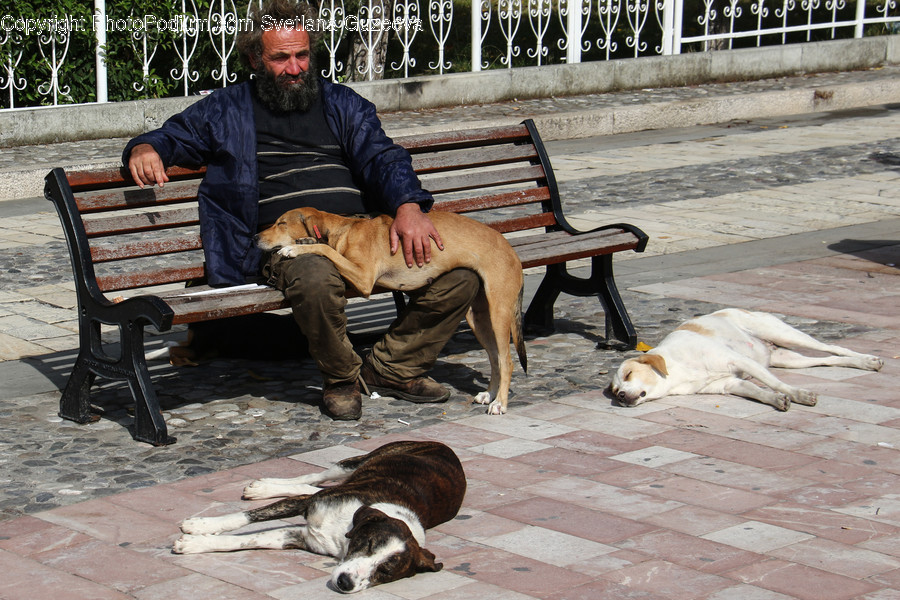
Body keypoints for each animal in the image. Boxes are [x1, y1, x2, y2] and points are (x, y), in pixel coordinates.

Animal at [171, 442, 464, 592]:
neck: (344, 535)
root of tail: (450, 450)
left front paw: (197, 542)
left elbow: (246, 541)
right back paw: (263, 487)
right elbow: (245, 518)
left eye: (385, 571)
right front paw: (200, 527)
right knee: (315, 478)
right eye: (369, 544)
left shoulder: (296, 537)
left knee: (313, 485)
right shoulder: (307, 505)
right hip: (355, 462)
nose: (345, 583)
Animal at [255, 205, 528, 412]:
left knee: (507, 361)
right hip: (479, 319)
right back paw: (489, 394)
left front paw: (294, 248)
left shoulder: (364, 278)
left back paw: (500, 403)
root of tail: (512, 251)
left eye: (281, 223)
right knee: (495, 359)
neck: (344, 231)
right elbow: (324, 246)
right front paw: (304, 241)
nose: (254, 238)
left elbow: (323, 248)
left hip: (498, 312)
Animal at [608, 310, 884, 412]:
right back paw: (861, 363)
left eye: (628, 374)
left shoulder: (739, 362)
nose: (620, 396)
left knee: (832, 347)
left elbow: (779, 384)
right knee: (826, 360)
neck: (677, 373)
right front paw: (776, 400)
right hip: (789, 360)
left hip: (783, 333)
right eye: (614, 389)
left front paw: (798, 395)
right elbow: (760, 392)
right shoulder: (731, 384)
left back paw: (868, 360)